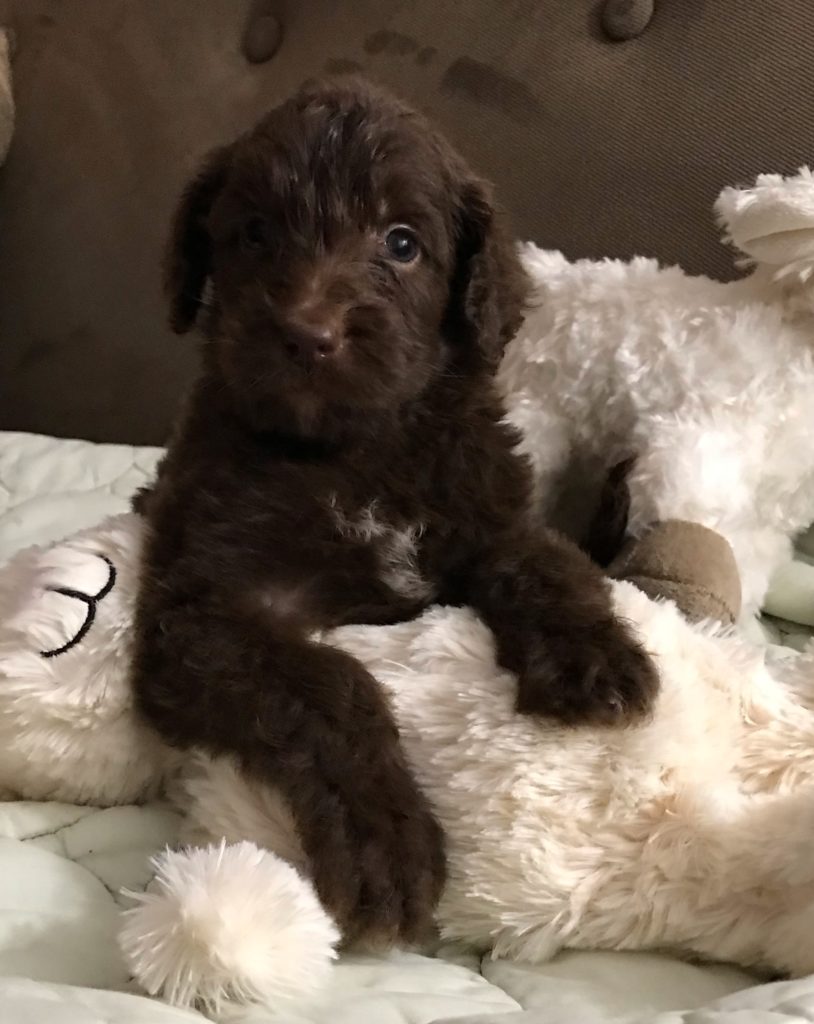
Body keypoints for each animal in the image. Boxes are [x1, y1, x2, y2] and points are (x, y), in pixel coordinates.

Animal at [132, 79, 655, 950]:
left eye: (403, 243)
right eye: (254, 232)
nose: (309, 335)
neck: (356, 452)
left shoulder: (487, 512)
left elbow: (544, 562)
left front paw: (595, 657)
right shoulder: (203, 613)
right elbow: (330, 682)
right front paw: (385, 839)